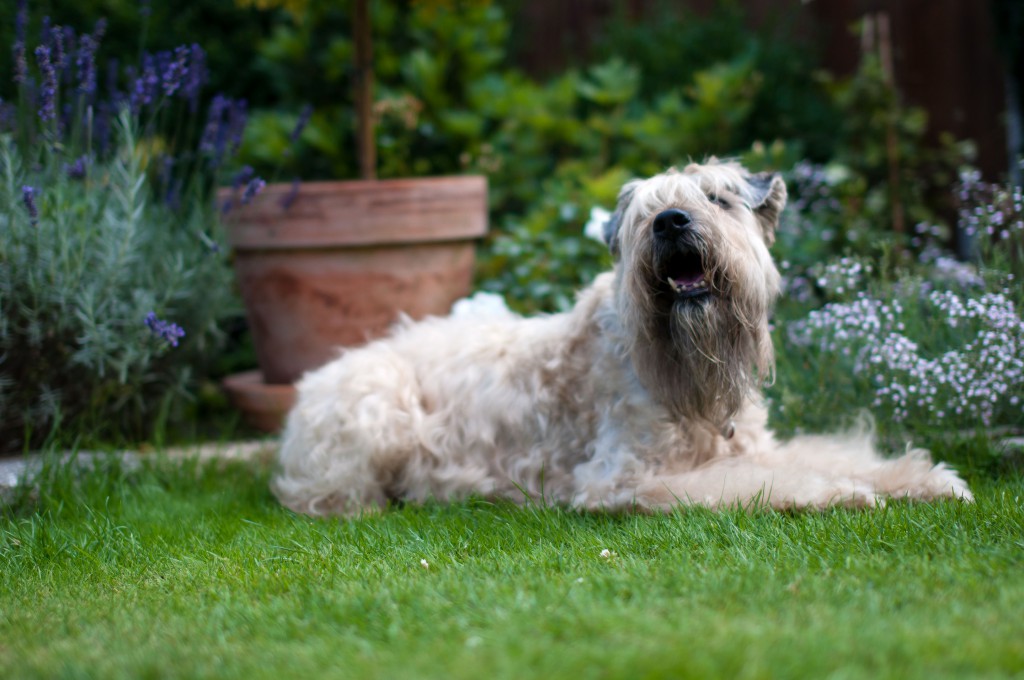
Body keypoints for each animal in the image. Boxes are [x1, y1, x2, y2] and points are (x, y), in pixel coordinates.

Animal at [274, 161, 974, 518]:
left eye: (718, 198)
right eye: (644, 214)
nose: (671, 221)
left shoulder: (755, 442)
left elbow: (825, 452)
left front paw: (923, 478)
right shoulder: (625, 477)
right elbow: (753, 482)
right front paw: (838, 493)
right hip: (376, 406)